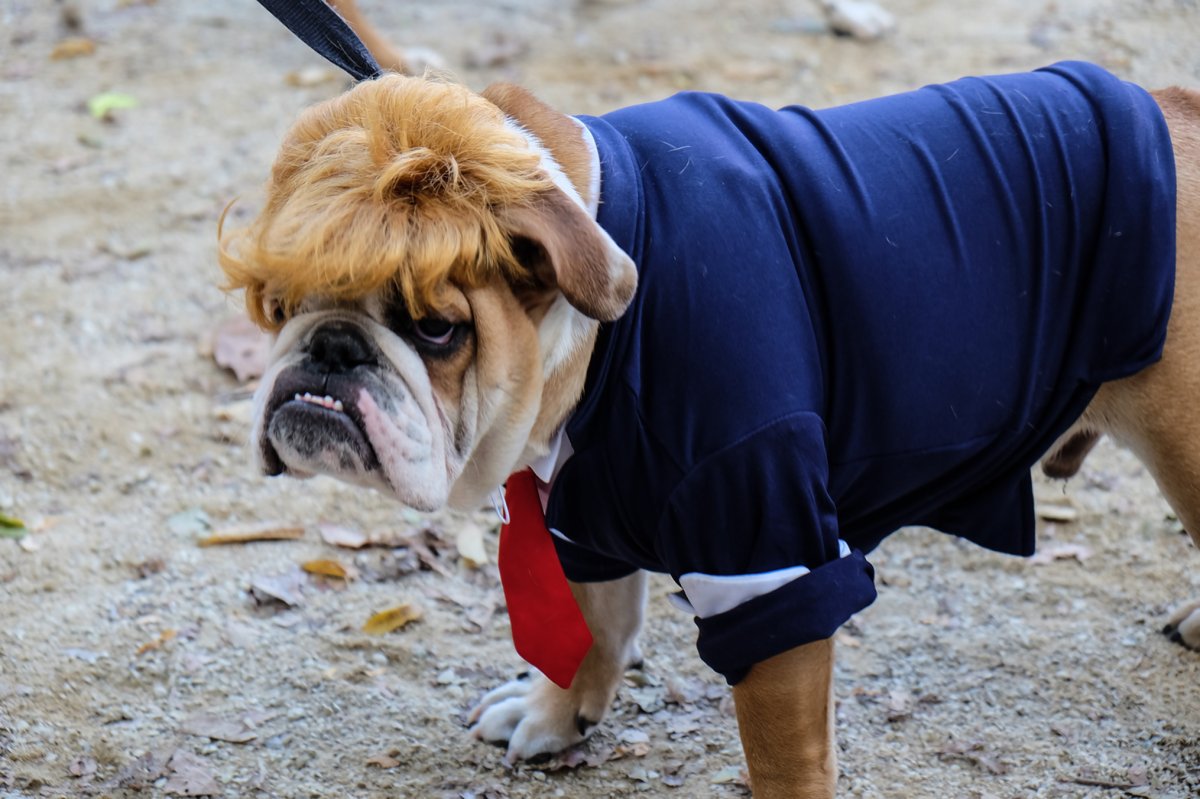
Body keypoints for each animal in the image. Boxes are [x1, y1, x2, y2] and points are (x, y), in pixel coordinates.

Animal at [220, 3, 1200, 791]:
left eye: (434, 329)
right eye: (280, 304)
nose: (328, 350)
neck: (597, 341)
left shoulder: (764, 560)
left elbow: (784, 750)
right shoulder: (577, 516)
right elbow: (595, 621)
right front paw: (556, 711)